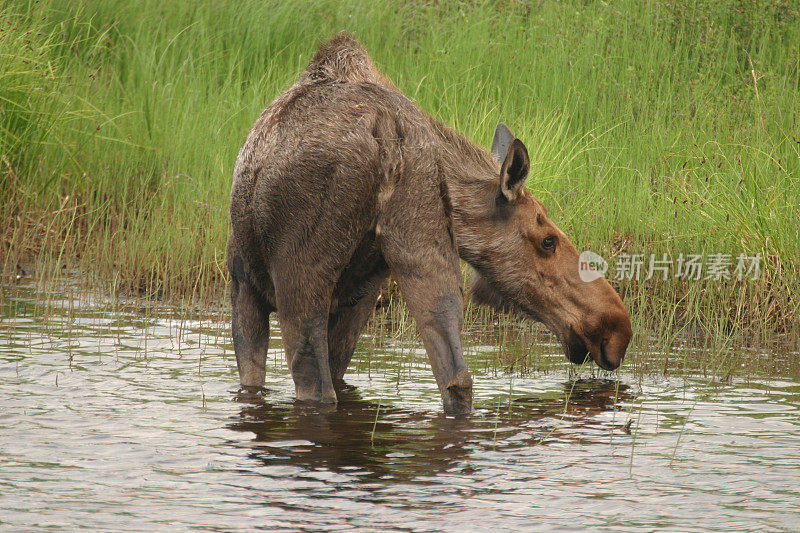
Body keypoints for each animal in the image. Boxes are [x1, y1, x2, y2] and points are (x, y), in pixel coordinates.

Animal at [230, 35, 632, 414]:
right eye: (548, 241)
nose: (617, 328)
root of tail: (388, 131)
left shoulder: (246, 281)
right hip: (418, 244)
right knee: (456, 375)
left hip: (306, 282)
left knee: (318, 386)